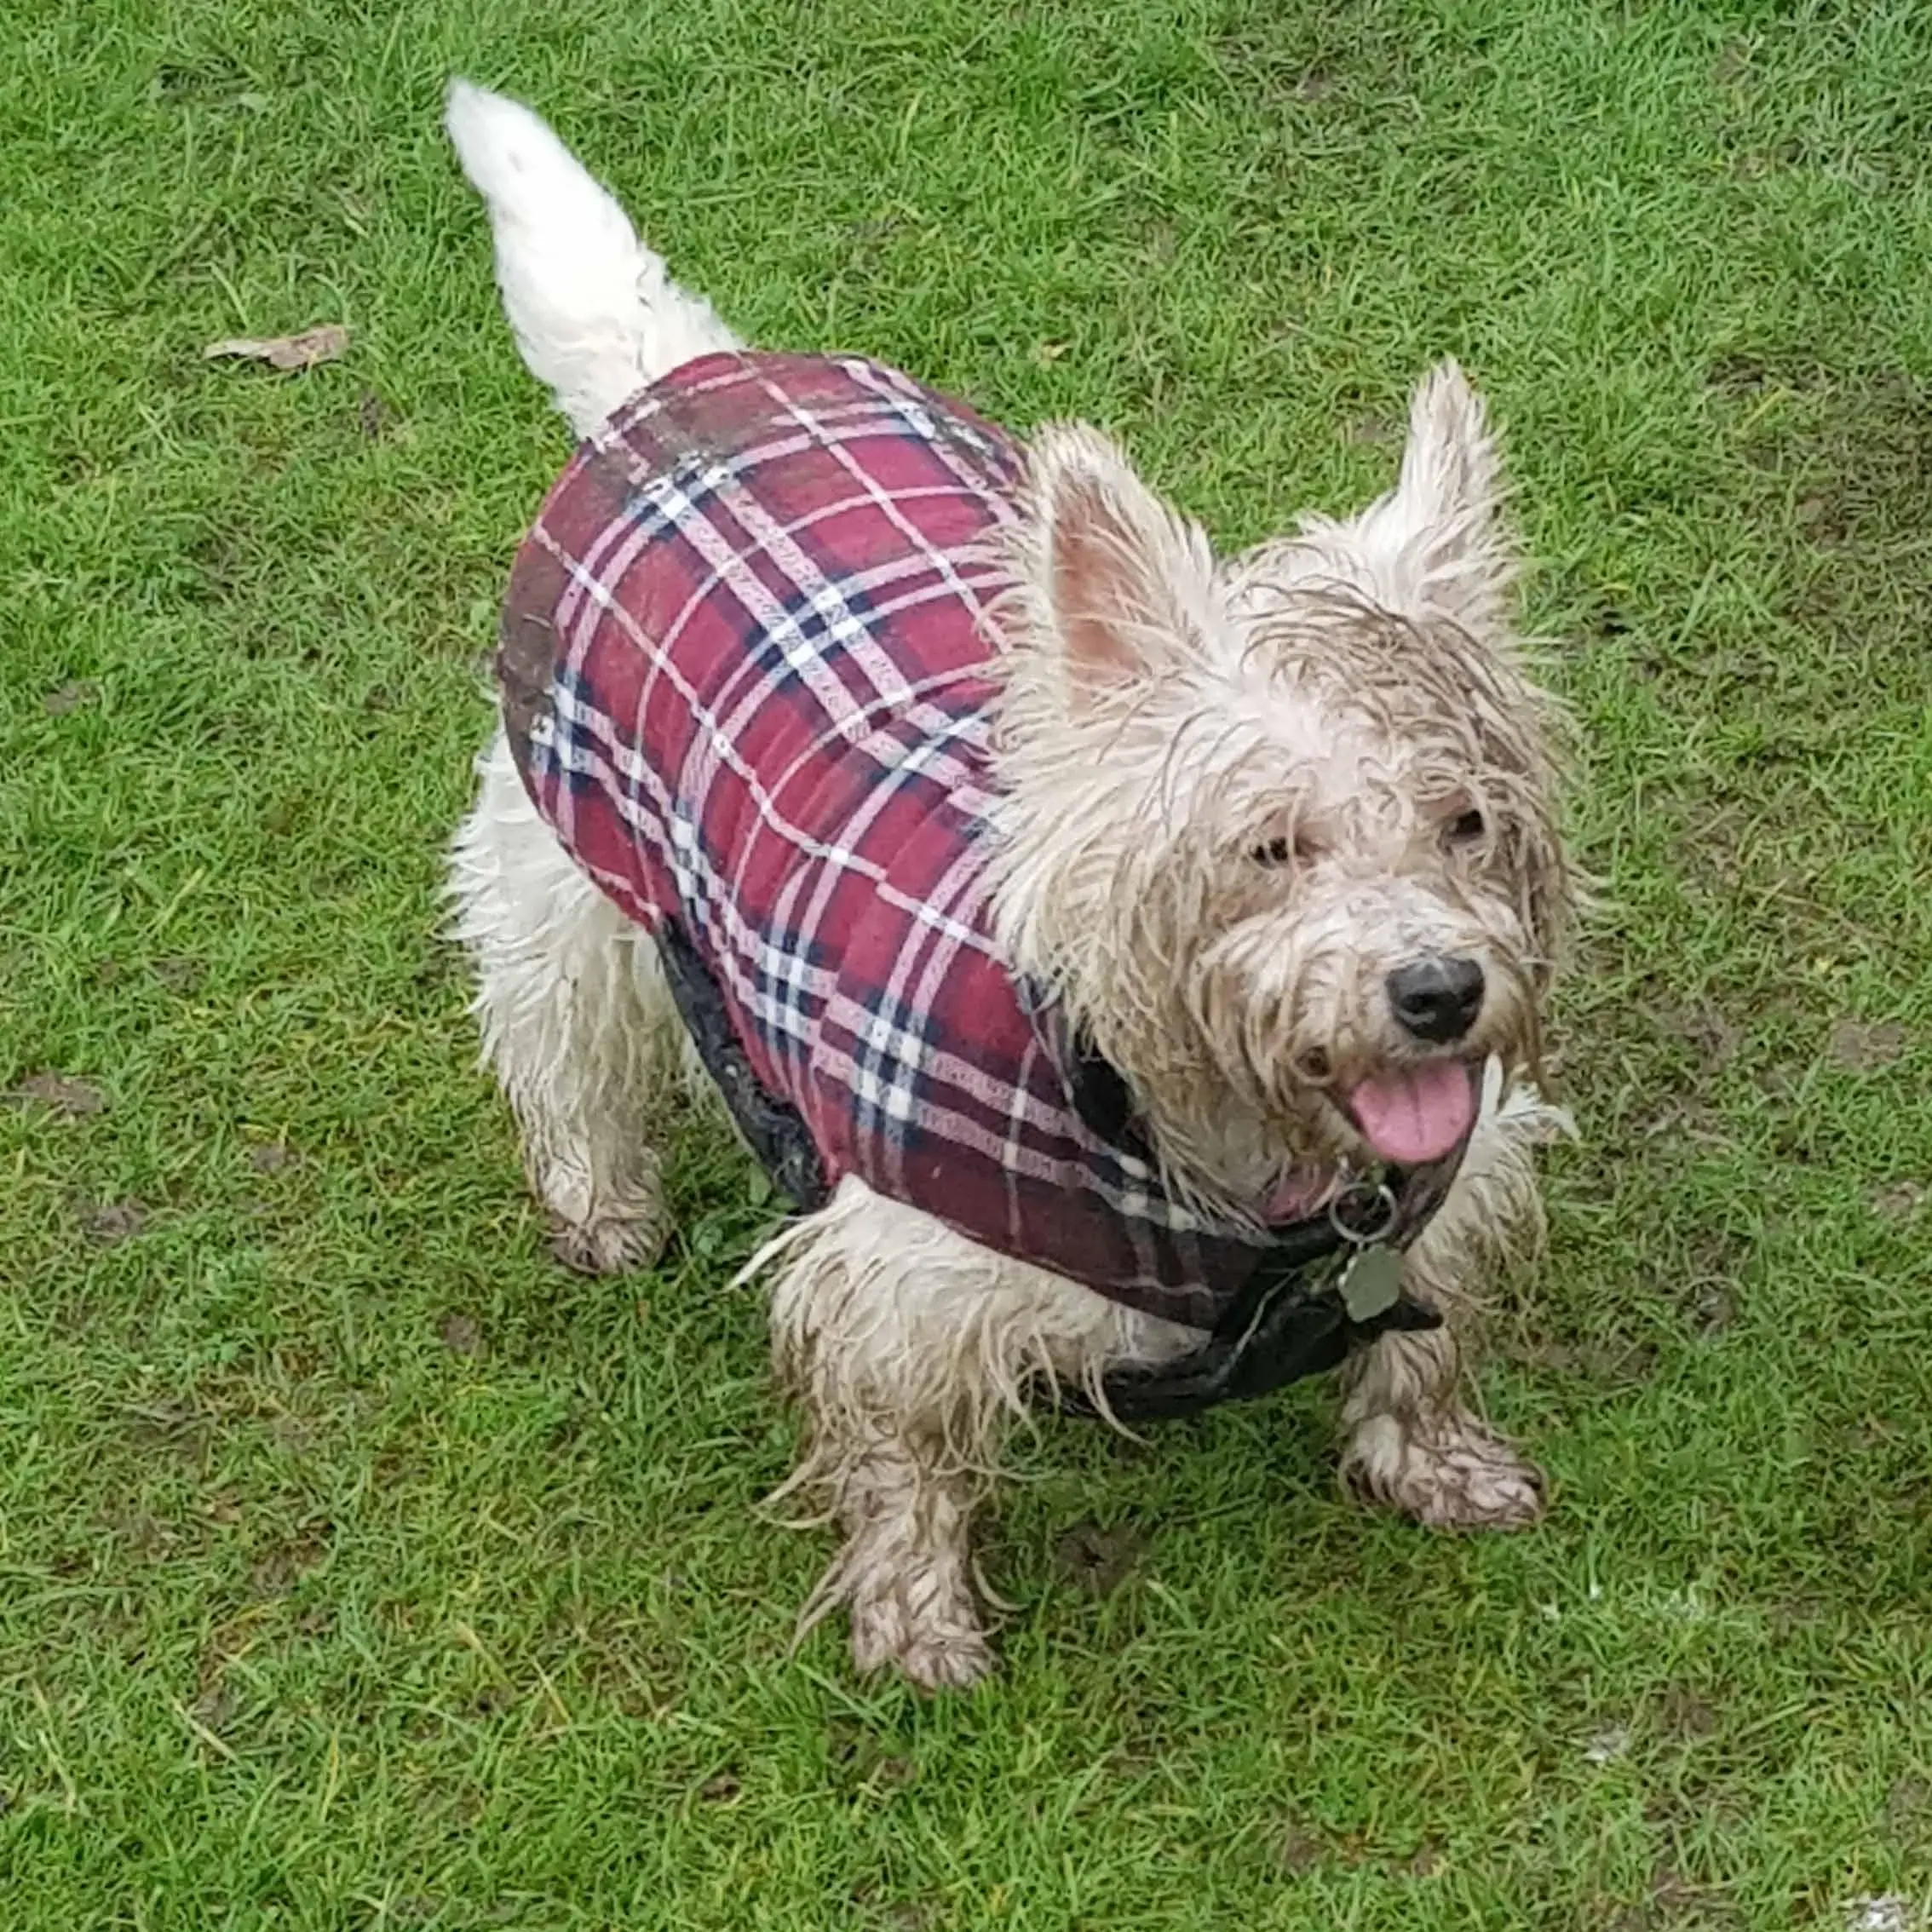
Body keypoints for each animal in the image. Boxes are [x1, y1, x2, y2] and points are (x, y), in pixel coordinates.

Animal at [444, 83, 1576, 1692]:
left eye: (1468, 821)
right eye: (1266, 843)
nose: (1439, 993)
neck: (1174, 1121)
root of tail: (680, 380)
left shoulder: (1442, 1192)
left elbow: (1421, 1342)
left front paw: (1435, 1462)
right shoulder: (902, 1281)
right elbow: (907, 1450)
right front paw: (916, 1618)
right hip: (571, 863)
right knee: (557, 1034)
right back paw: (601, 1201)